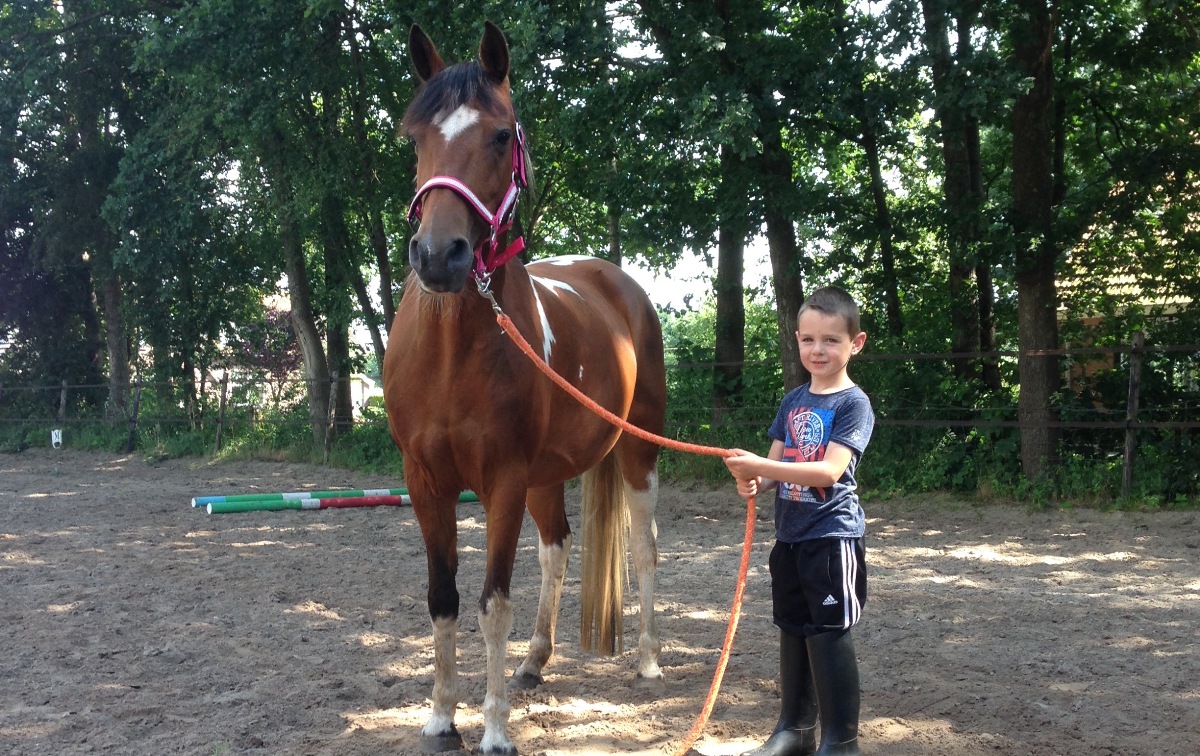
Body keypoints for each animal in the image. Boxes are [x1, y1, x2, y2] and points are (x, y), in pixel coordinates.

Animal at [381, 20, 672, 753]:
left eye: (499, 136)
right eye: (415, 137)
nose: (439, 256)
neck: (451, 354)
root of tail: (613, 280)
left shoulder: (503, 481)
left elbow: (492, 604)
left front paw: (493, 730)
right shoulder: (425, 480)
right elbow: (444, 599)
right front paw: (440, 718)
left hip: (636, 454)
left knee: (643, 548)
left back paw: (649, 660)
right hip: (548, 475)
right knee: (558, 549)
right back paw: (536, 662)